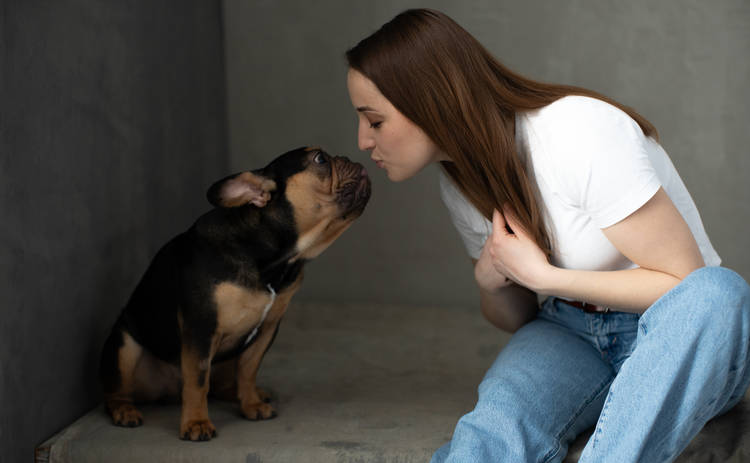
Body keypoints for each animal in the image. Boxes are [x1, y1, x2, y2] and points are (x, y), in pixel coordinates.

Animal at [100, 148, 370, 442]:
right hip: (124, 347)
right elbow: (197, 380)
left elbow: (249, 369)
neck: (273, 259)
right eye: (320, 159)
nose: (351, 159)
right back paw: (125, 411)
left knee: (225, 382)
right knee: (117, 392)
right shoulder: (201, 326)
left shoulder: (266, 329)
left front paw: (251, 404)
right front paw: (196, 423)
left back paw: (247, 395)